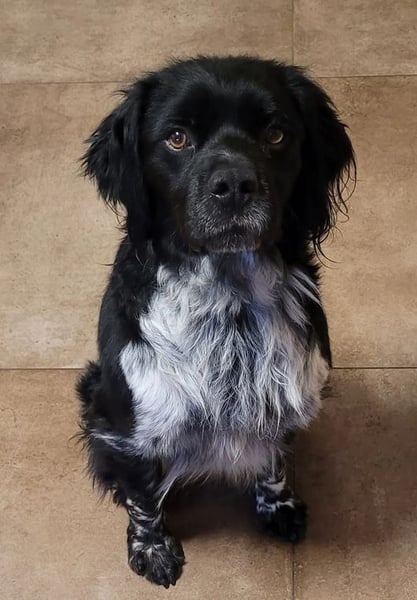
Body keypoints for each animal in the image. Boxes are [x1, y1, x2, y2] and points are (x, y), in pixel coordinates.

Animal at [77, 56, 355, 588]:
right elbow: (142, 496)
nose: (233, 187)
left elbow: (274, 460)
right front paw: (152, 549)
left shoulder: (284, 396)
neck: (229, 304)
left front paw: (278, 507)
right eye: (176, 137)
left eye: (275, 134)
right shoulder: (132, 427)